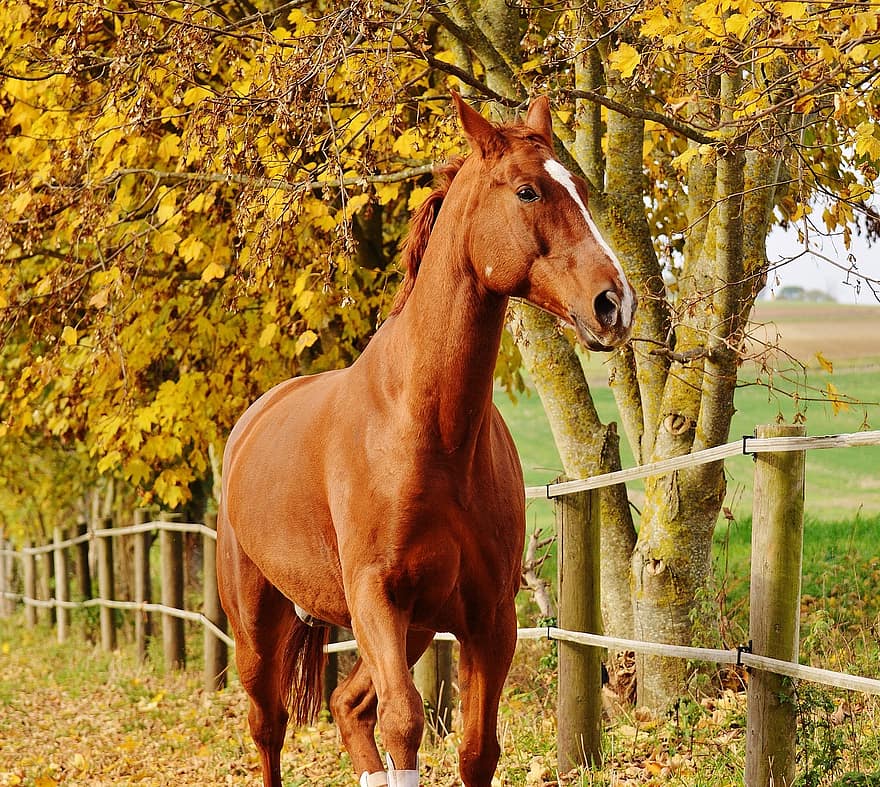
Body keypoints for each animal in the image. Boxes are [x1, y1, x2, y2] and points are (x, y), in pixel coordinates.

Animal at [217, 94, 636, 787]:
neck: (428, 433)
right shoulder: (377, 601)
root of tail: (251, 423)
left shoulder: (489, 619)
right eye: (527, 190)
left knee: (347, 706)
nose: (615, 304)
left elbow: (475, 749)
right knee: (269, 726)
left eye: (580, 188)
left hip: (412, 629)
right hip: (257, 623)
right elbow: (405, 724)